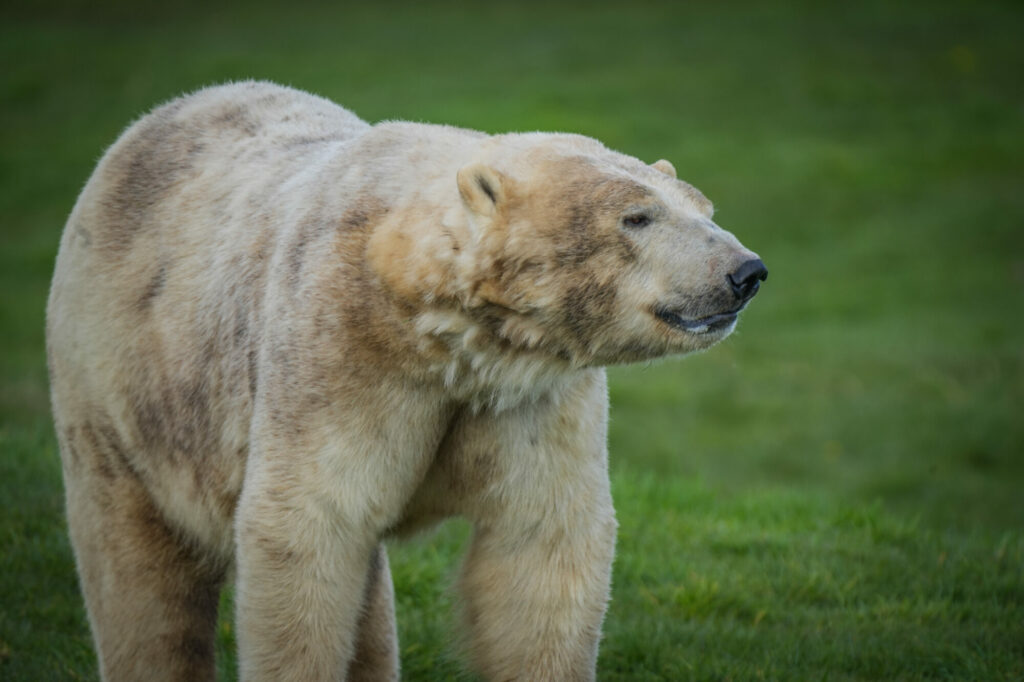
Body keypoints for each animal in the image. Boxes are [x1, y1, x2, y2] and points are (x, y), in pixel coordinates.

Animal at [46, 81, 767, 681]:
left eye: (702, 206)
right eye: (637, 217)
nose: (746, 271)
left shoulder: (530, 391)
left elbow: (540, 545)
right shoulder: (335, 348)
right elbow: (308, 528)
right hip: (119, 390)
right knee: (140, 574)